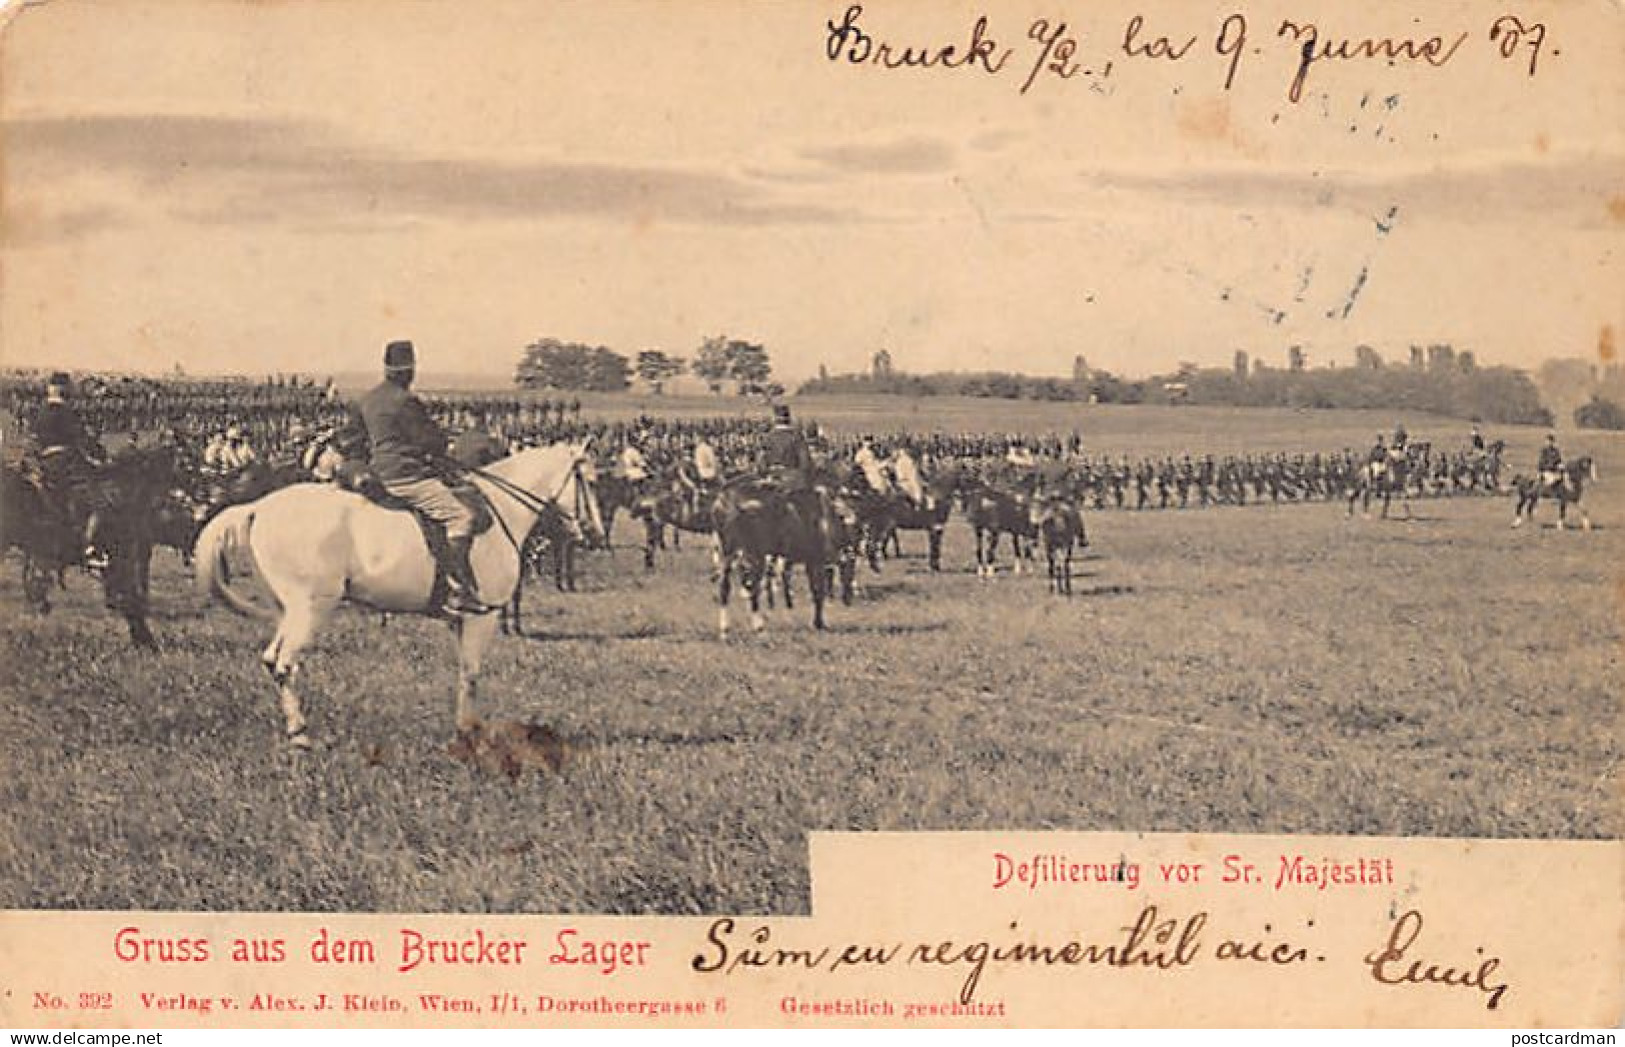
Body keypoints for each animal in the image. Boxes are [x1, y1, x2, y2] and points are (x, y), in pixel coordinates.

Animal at [191, 442, 604, 744]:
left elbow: (463, 674)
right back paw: (300, 733)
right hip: (312, 609)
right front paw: (470, 736)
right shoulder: (481, 618)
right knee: (284, 664)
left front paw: (463, 729)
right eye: (591, 481)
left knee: (271, 659)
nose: (596, 535)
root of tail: (259, 506)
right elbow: (472, 675)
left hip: (287, 611)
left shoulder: (460, 622)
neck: (499, 510)